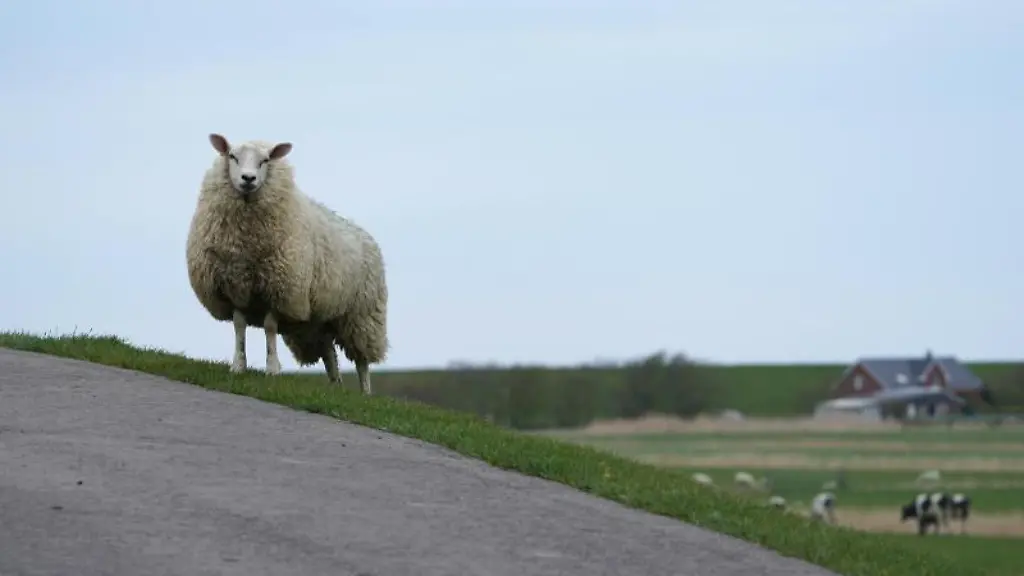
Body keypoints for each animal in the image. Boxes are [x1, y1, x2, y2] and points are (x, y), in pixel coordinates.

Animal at [186, 133, 389, 393]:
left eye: (265, 160)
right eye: (232, 156)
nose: (248, 179)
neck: (245, 242)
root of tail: (367, 237)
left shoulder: (279, 290)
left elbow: (270, 328)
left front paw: (272, 369)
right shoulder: (234, 289)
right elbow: (239, 326)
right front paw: (238, 366)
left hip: (361, 315)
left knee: (362, 359)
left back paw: (364, 393)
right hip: (320, 319)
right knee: (329, 352)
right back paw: (335, 386)